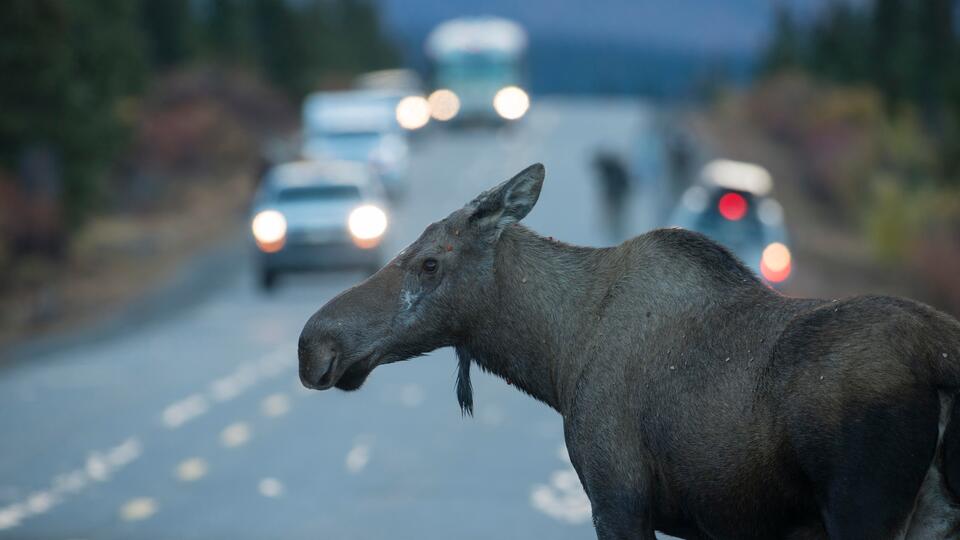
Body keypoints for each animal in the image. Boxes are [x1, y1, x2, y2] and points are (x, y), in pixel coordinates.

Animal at [304, 165, 960, 540]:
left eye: (429, 263)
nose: (314, 343)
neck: (555, 355)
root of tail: (941, 360)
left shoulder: (618, 497)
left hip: (864, 507)